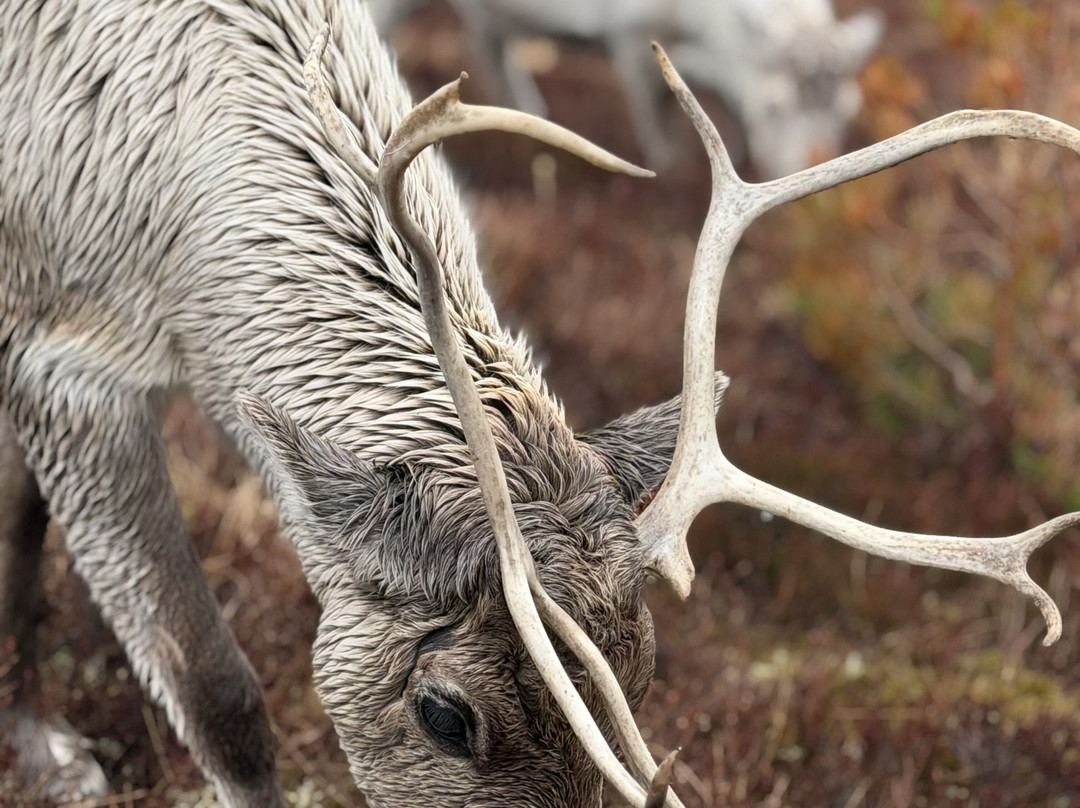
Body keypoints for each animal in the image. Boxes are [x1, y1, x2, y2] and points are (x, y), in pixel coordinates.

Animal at [368, 0, 884, 177]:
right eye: (777, 106)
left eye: (847, 108)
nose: (818, 162)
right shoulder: (633, 38)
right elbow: (654, 112)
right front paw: (670, 166)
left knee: (486, 41)